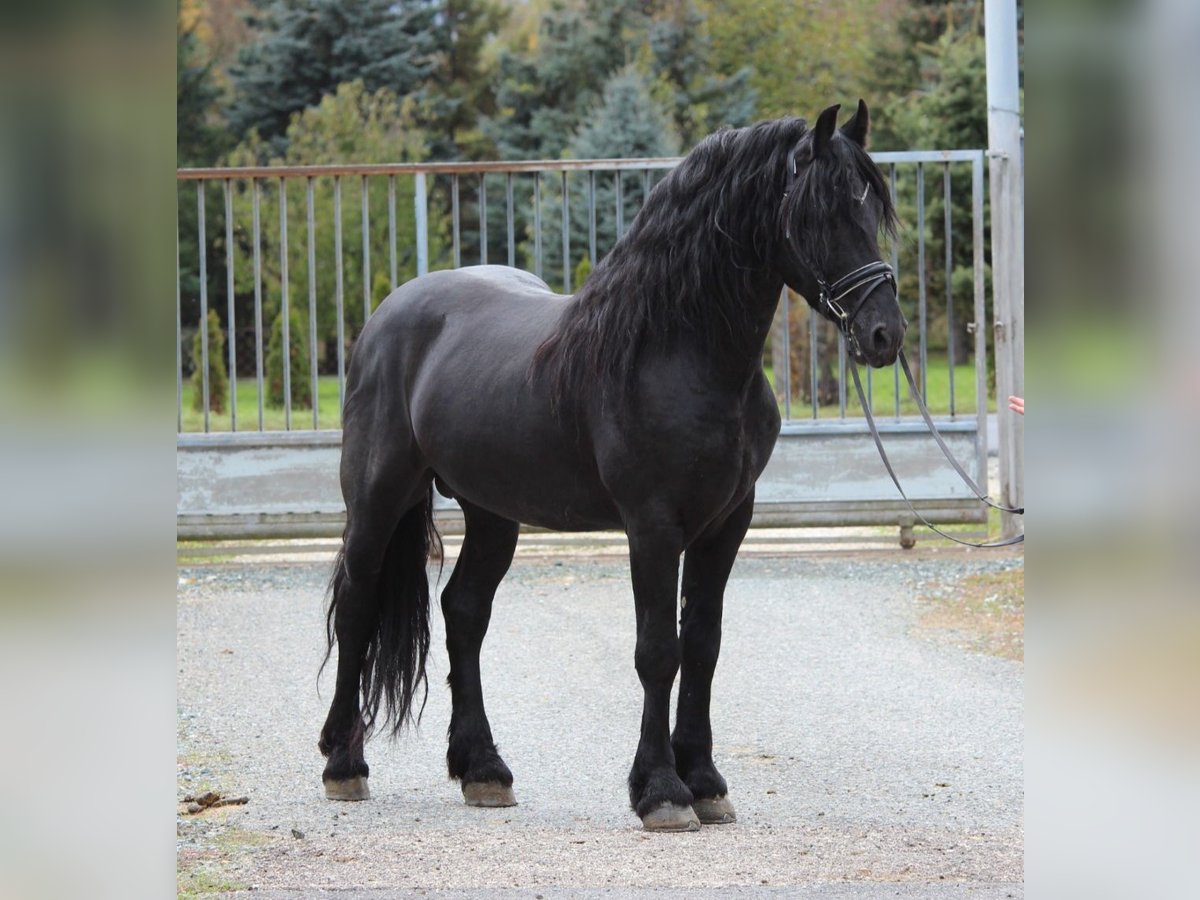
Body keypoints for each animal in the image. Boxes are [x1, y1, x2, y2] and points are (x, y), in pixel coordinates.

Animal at [319, 103, 902, 830]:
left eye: (872, 210)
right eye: (822, 212)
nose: (884, 335)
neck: (677, 350)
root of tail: (385, 318)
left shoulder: (727, 523)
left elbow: (702, 645)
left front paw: (705, 781)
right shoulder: (652, 526)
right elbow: (658, 651)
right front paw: (662, 791)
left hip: (493, 512)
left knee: (465, 612)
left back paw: (483, 769)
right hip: (379, 496)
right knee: (357, 605)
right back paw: (344, 764)